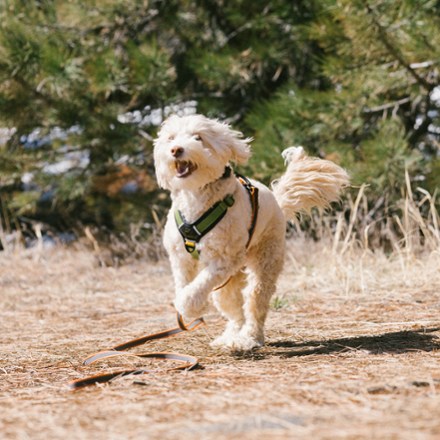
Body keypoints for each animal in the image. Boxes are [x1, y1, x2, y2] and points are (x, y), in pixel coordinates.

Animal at [153, 113, 348, 350]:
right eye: (171, 138)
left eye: (198, 137)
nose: (176, 150)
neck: (197, 199)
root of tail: (277, 203)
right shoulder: (180, 257)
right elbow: (183, 283)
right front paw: (189, 304)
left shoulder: (223, 261)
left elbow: (198, 285)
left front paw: (190, 306)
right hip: (230, 281)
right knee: (234, 311)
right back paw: (230, 338)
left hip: (264, 261)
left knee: (254, 304)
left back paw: (249, 339)